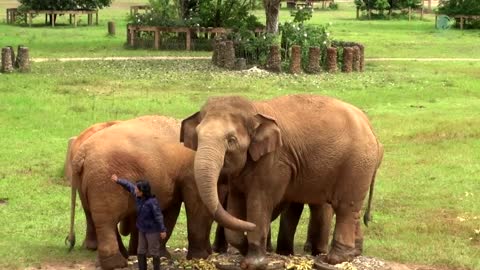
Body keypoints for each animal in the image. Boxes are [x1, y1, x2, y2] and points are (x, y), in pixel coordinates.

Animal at [65, 115, 214, 268]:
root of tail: (82, 152)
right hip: (104, 181)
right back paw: (117, 263)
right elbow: (196, 205)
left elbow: (169, 209)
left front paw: (160, 255)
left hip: (89, 182)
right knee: (107, 221)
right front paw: (199, 257)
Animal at [180, 94, 382, 268]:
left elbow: (259, 203)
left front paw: (253, 263)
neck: (255, 109)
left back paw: (334, 259)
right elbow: (236, 205)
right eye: (197, 137)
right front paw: (244, 249)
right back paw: (353, 254)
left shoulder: (274, 161)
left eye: (231, 140)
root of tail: (371, 129)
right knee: (352, 209)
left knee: (345, 206)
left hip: (356, 163)